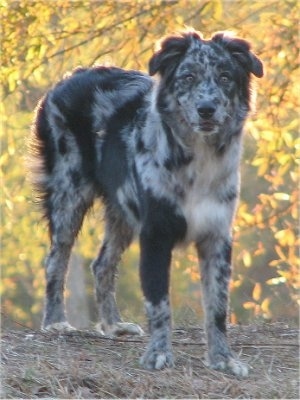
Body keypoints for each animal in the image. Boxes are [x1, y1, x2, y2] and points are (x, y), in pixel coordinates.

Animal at [29, 28, 262, 376]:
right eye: (188, 76)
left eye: (225, 76)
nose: (206, 109)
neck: (198, 161)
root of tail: (72, 76)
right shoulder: (156, 235)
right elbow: (159, 302)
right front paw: (159, 354)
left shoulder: (217, 237)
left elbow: (218, 307)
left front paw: (223, 359)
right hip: (68, 194)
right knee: (56, 260)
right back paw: (55, 322)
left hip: (121, 212)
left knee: (102, 265)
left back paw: (113, 325)